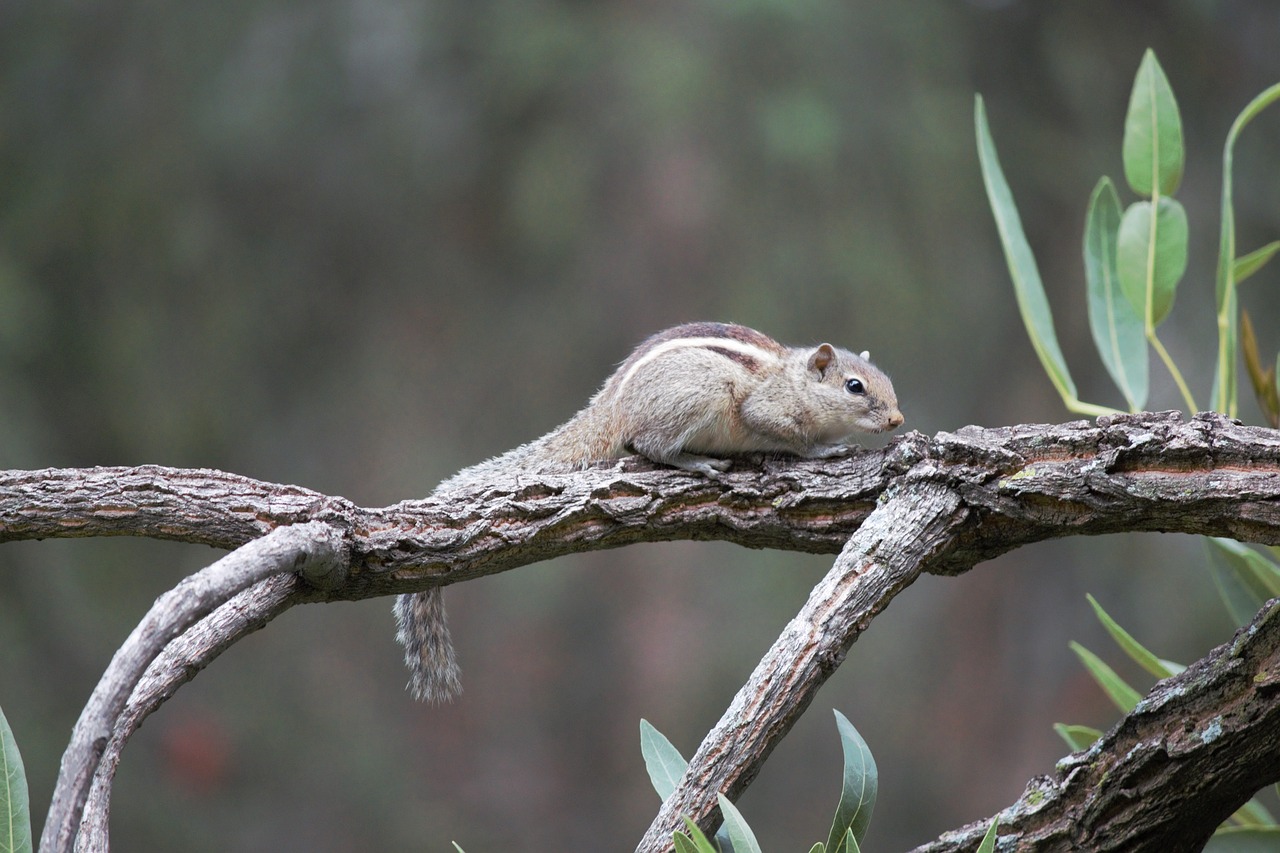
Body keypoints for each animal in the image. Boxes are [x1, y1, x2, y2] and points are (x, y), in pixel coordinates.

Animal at [394, 322, 906, 701]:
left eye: (887, 381)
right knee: (649, 445)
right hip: (700, 396)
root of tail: (612, 407)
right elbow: (793, 441)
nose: (898, 419)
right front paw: (827, 450)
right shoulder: (767, 412)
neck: (794, 380)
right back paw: (697, 461)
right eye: (854, 386)